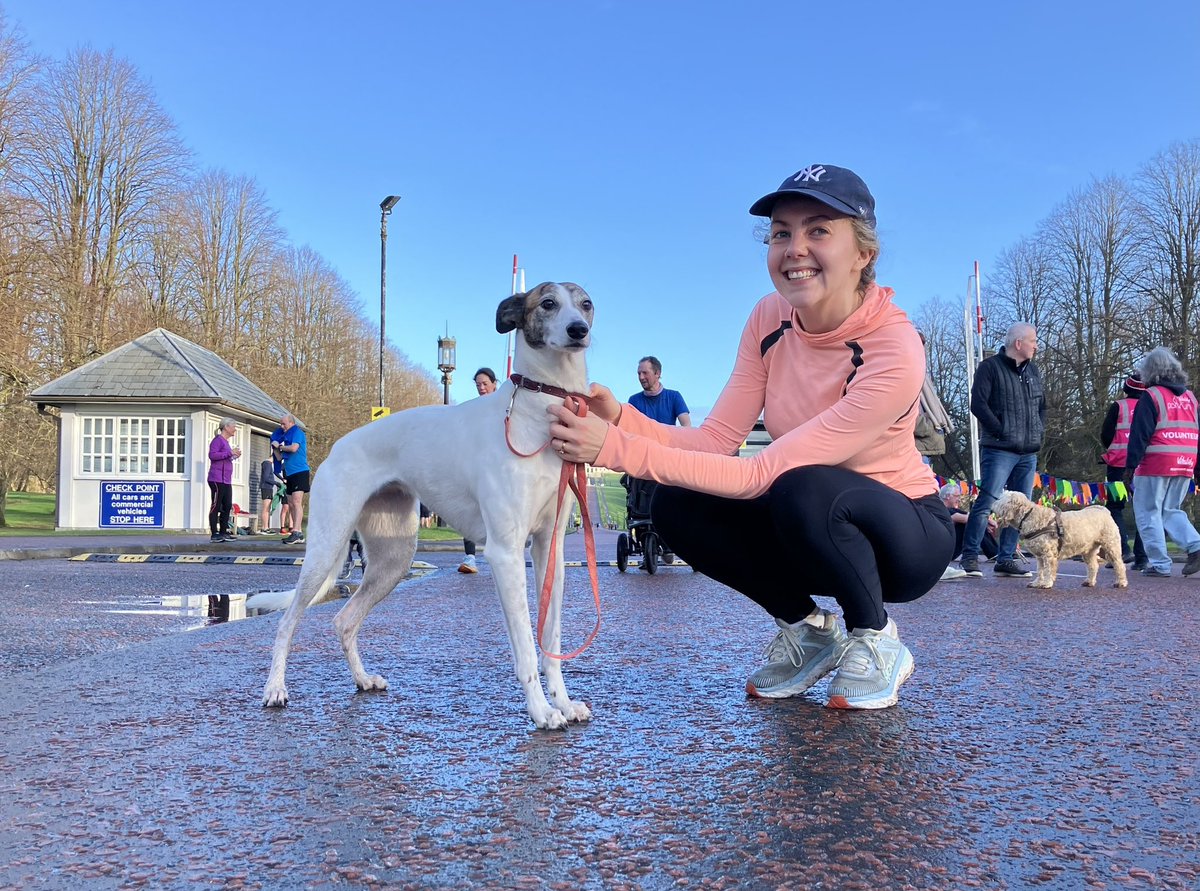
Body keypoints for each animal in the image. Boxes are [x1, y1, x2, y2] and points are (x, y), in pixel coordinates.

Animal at [265, 282, 597, 730]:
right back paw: (275, 689)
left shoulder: (550, 550)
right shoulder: (506, 553)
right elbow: (527, 647)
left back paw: (362, 680)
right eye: (547, 303)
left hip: (394, 558)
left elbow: (551, 641)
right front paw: (542, 711)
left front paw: (563, 702)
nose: (579, 331)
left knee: (343, 620)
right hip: (326, 548)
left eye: (586, 304)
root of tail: (338, 447)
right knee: (287, 621)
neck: (536, 417)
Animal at [988, 492, 1128, 590]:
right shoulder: (1040, 556)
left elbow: (1048, 570)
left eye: (999, 500)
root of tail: (1103, 510)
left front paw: (1046, 583)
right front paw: (1037, 583)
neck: (1028, 516)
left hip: (1111, 546)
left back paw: (1121, 582)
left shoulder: (1048, 554)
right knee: (1093, 566)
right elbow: (1040, 570)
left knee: (1119, 565)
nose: (991, 508)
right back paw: (1089, 581)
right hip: (1088, 550)